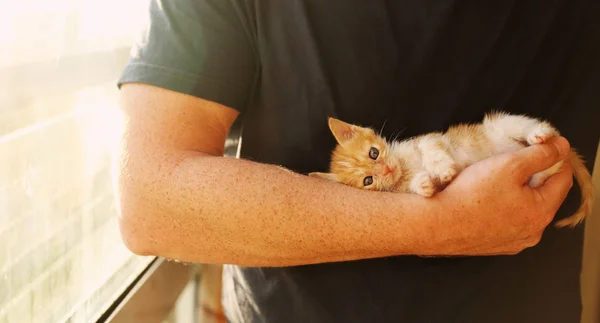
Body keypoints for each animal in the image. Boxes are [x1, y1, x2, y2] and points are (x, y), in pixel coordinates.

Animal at [312, 112, 592, 229]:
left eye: (374, 153)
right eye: (368, 180)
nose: (387, 169)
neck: (404, 165)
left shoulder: (430, 139)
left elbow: (431, 147)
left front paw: (442, 167)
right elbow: (417, 185)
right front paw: (424, 184)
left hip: (502, 124)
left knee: (539, 130)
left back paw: (538, 134)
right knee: (547, 171)